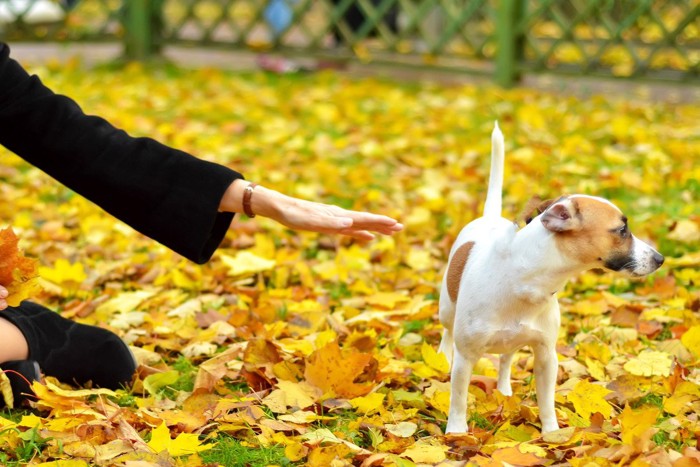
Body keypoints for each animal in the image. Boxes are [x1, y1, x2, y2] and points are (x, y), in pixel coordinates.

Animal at [440, 121, 664, 436]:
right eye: (622, 230)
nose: (659, 258)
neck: (524, 281)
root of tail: (489, 217)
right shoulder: (467, 356)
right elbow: (458, 397)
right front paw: (457, 433)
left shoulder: (546, 354)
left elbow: (546, 399)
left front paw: (552, 434)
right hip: (447, 310)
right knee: (447, 334)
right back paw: (441, 358)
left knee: (506, 358)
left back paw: (504, 390)